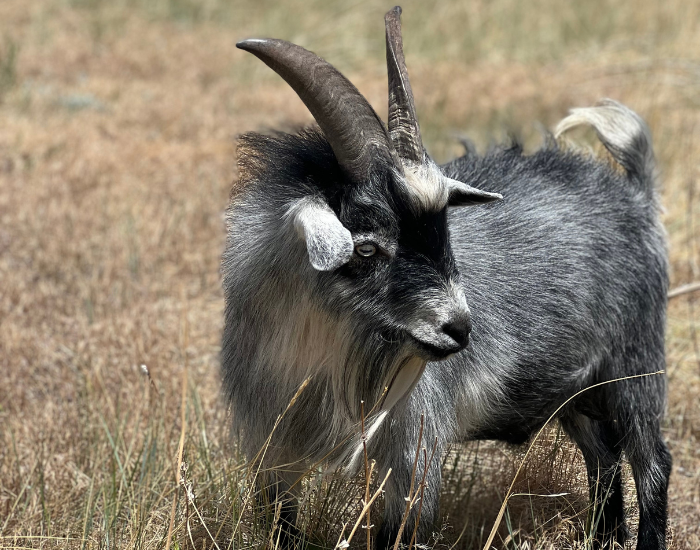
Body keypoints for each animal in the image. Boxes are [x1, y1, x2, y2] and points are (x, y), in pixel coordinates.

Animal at [223, 6, 671, 549]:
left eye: (444, 232)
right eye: (367, 246)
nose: (459, 328)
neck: (321, 362)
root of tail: (635, 196)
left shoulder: (412, 451)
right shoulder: (272, 451)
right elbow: (281, 524)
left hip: (634, 365)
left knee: (652, 462)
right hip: (575, 388)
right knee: (602, 456)